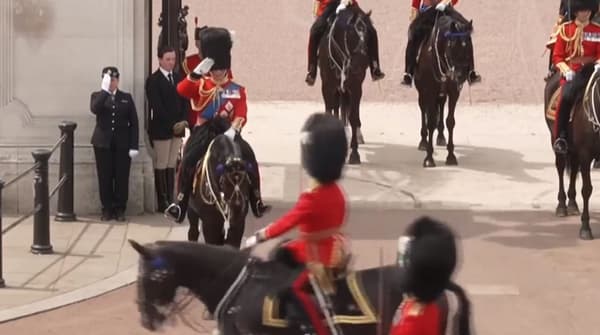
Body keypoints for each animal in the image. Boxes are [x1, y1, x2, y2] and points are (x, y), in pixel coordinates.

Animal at [318, 3, 376, 164]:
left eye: (369, 34)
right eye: (351, 34)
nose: (359, 64)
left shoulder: (355, 88)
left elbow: (353, 117)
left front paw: (354, 153)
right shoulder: (327, 87)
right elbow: (330, 111)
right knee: (337, 108)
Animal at [412, 12, 474, 168]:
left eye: (468, 44)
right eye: (451, 45)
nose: (460, 75)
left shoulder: (453, 92)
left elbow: (450, 121)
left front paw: (451, 156)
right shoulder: (429, 90)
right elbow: (430, 121)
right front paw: (429, 158)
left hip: (441, 94)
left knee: (440, 106)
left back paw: (440, 136)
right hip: (422, 92)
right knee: (423, 110)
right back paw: (423, 141)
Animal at [544, 68, 600, 240]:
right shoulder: (586, 154)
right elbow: (587, 189)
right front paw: (585, 227)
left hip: (575, 150)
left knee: (574, 170)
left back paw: (573, 204)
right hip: (556, 140)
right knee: (561, 168)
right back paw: (562, 205)